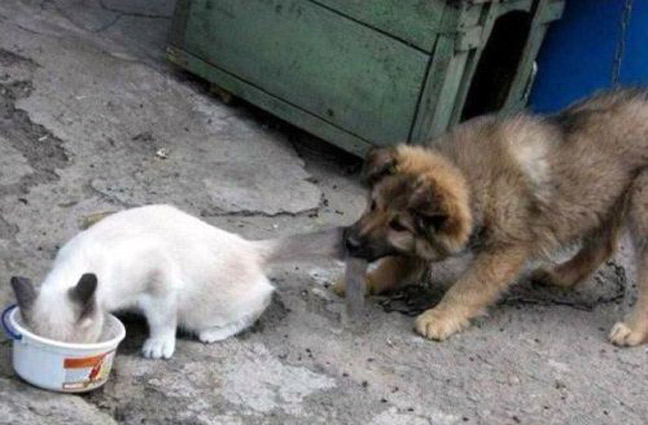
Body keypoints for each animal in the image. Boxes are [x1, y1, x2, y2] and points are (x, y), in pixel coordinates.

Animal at [336, 88, 648, 344]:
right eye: (373, 205)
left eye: (398, 226)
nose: (349, 242)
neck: (470, 178)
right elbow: (395, 265)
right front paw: (365, 282)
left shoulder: (505, 250)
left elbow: (470, 286)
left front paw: (441, 316)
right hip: (605, 199)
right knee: (602, 246)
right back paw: (560, 275)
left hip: (640, 203)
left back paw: (633, 329)